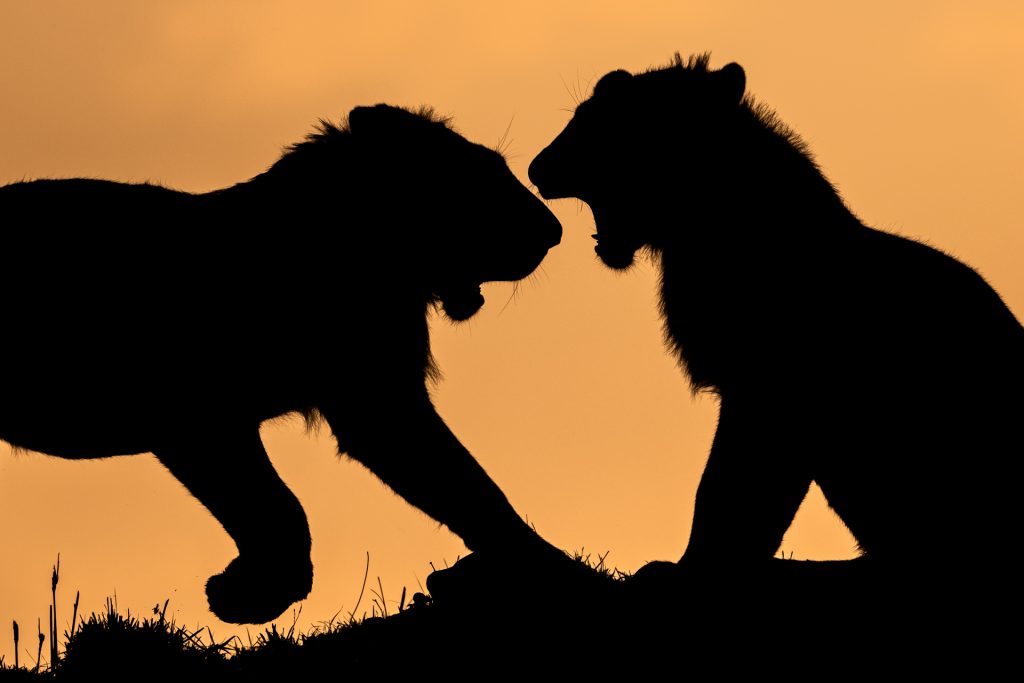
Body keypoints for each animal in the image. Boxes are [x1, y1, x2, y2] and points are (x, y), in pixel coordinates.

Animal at [0, 104, 563, 624]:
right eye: (484, 174)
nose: (552, 231)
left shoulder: (371, 401)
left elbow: (465, 486)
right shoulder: (205, 420)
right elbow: (282, 506)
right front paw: (252, 592)